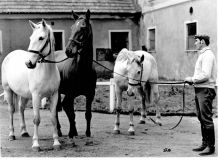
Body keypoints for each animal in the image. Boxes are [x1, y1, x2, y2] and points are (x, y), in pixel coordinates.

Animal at [1, 19, 60, 151]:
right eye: (31, 38)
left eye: (41, 38)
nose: (28, 63)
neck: (46, 71)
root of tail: (10, 55)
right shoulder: (36, 96)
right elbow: (36, 119)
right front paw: (36, 144)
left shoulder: (54, 95)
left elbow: (53, 119)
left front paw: (56, 143)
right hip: (8, 90)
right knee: (11, 110)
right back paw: (12, 135)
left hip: (24, 95)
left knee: (21, 109)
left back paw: (24, 131)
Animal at [54, 9, 96, 138]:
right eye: (72, 27)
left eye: (83, 28)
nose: (68, 50)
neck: (83, 69)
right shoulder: (70, 94)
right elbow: (71, 113)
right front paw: (71, 133)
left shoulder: (90, 95)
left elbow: (88, 114)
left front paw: (87, 133)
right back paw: (59, 131)